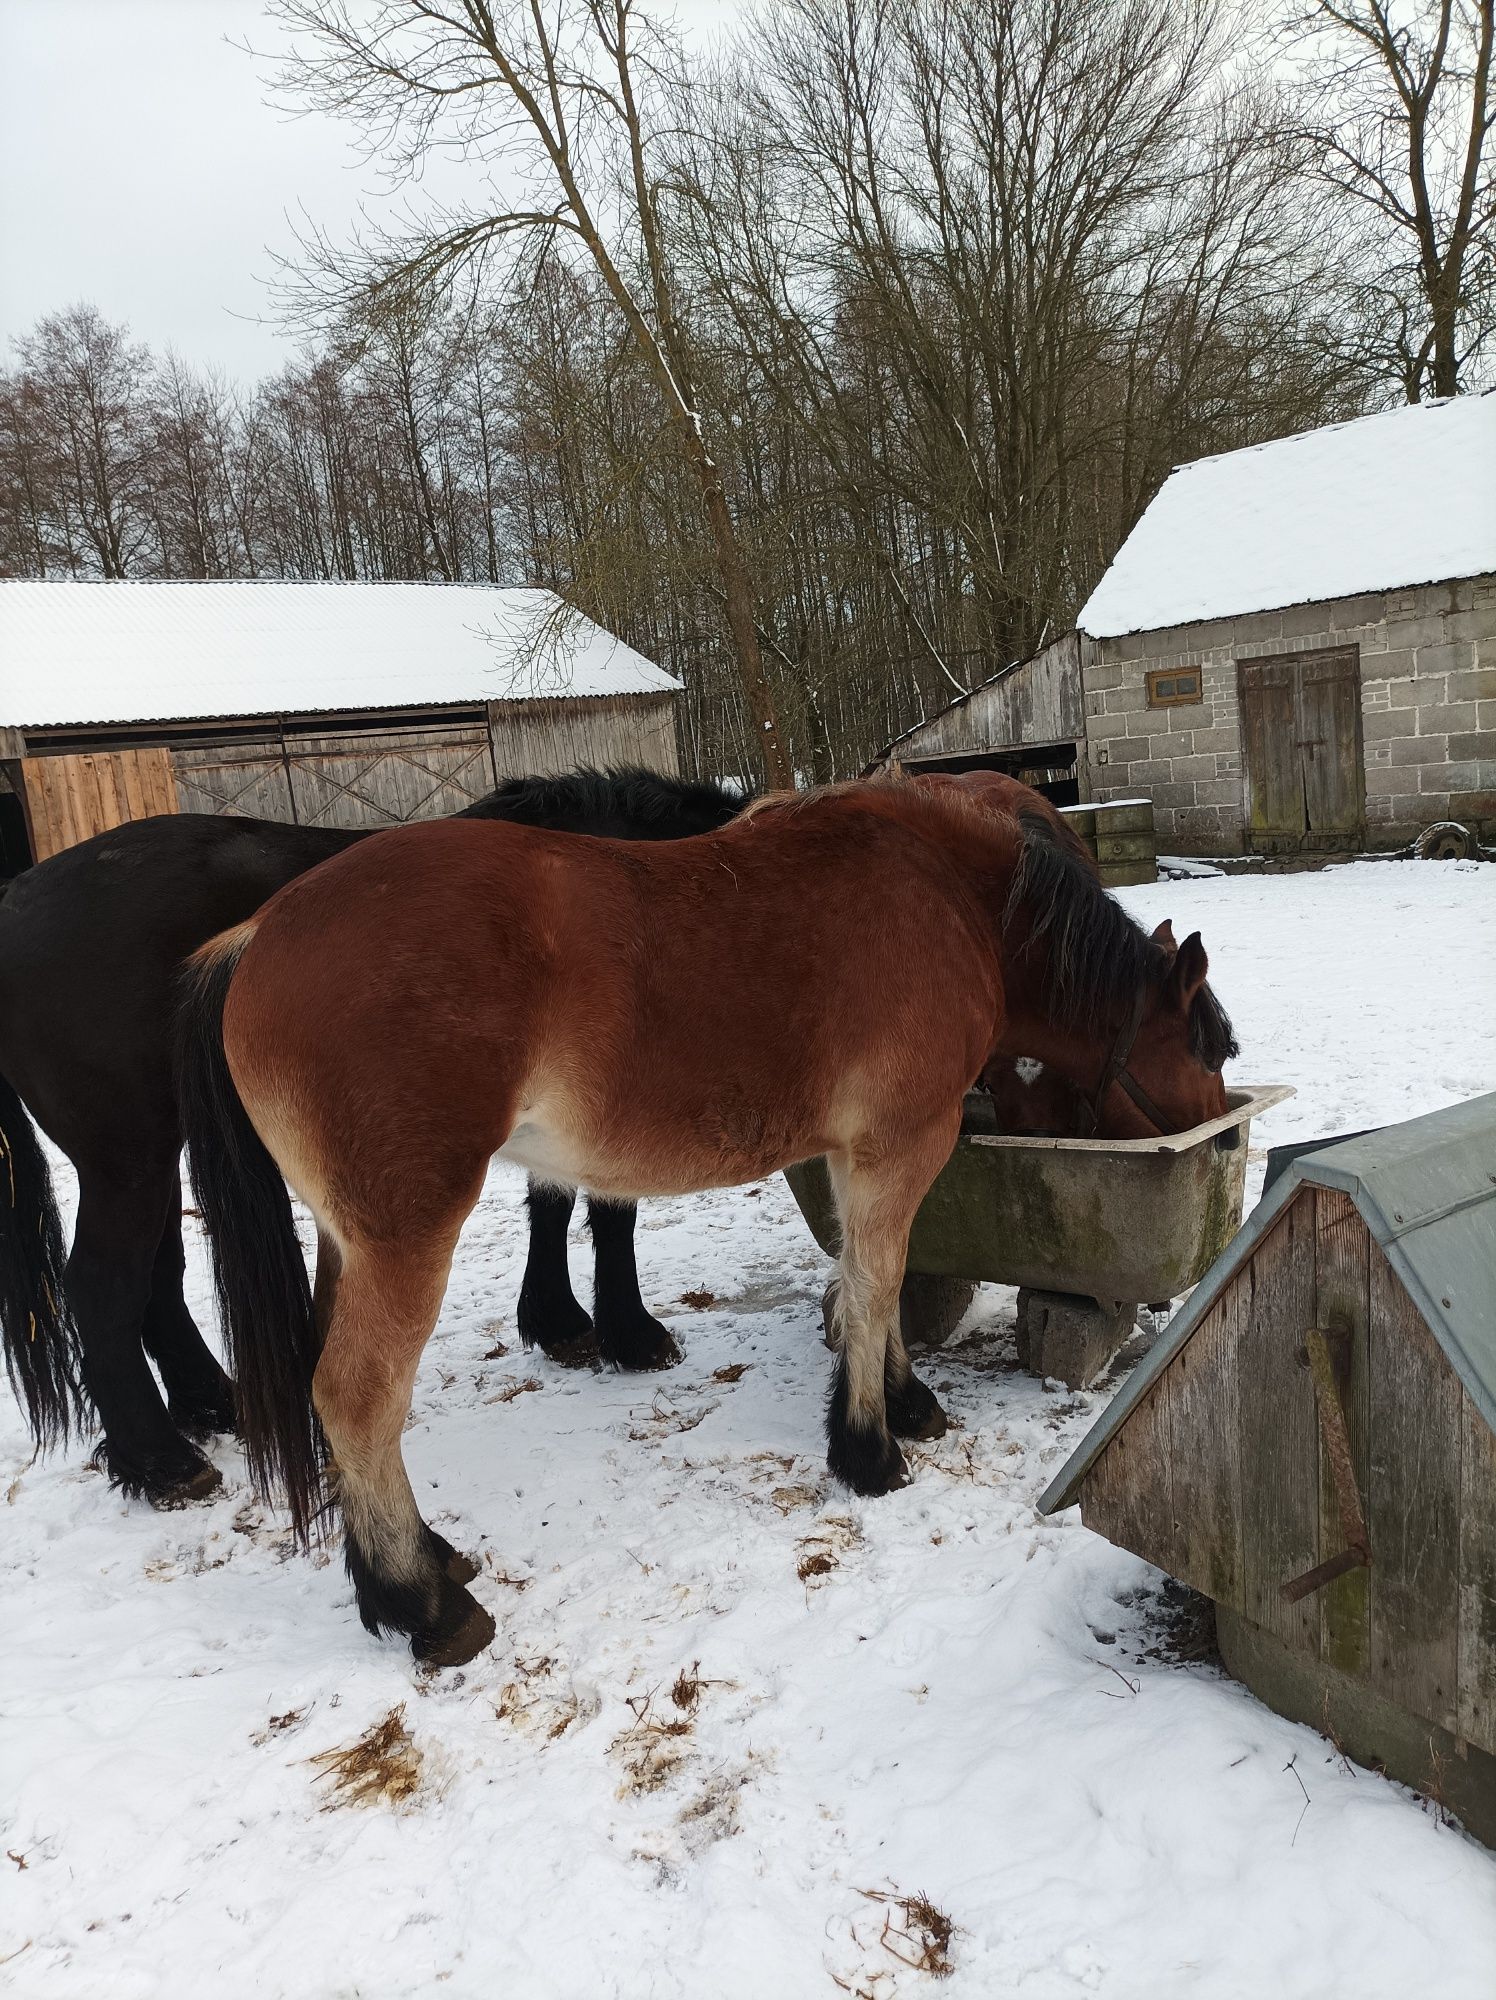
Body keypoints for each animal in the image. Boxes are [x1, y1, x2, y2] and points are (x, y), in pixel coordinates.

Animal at [175, 772, 1232, 1664]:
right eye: (1210, 1048)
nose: (1222, 1140)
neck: (948, 900)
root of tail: (258, 934)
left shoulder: (857, 1157)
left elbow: (869, 1283)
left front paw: (904, 1402)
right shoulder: (900, 1145)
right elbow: (877, 1284)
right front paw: (870, 1448)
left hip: (347, 1240)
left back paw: (417, 1564)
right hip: (406, 1236)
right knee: (357, 1398)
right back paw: (423, 1606)